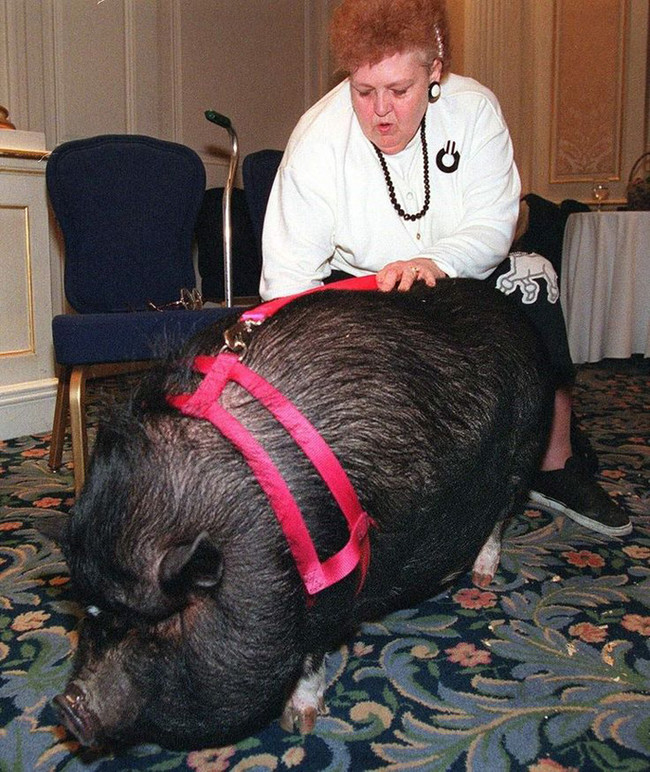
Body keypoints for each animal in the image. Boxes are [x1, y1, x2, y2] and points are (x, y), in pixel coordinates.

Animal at [54, 278, 552, 751]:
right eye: (90, 612)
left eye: (157, 625)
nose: (68, 708)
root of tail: (514, 312)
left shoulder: (334, 575)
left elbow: (312, 653)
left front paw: (300, 723)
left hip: (524, 450)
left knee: (499, 517)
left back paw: (481, 577)